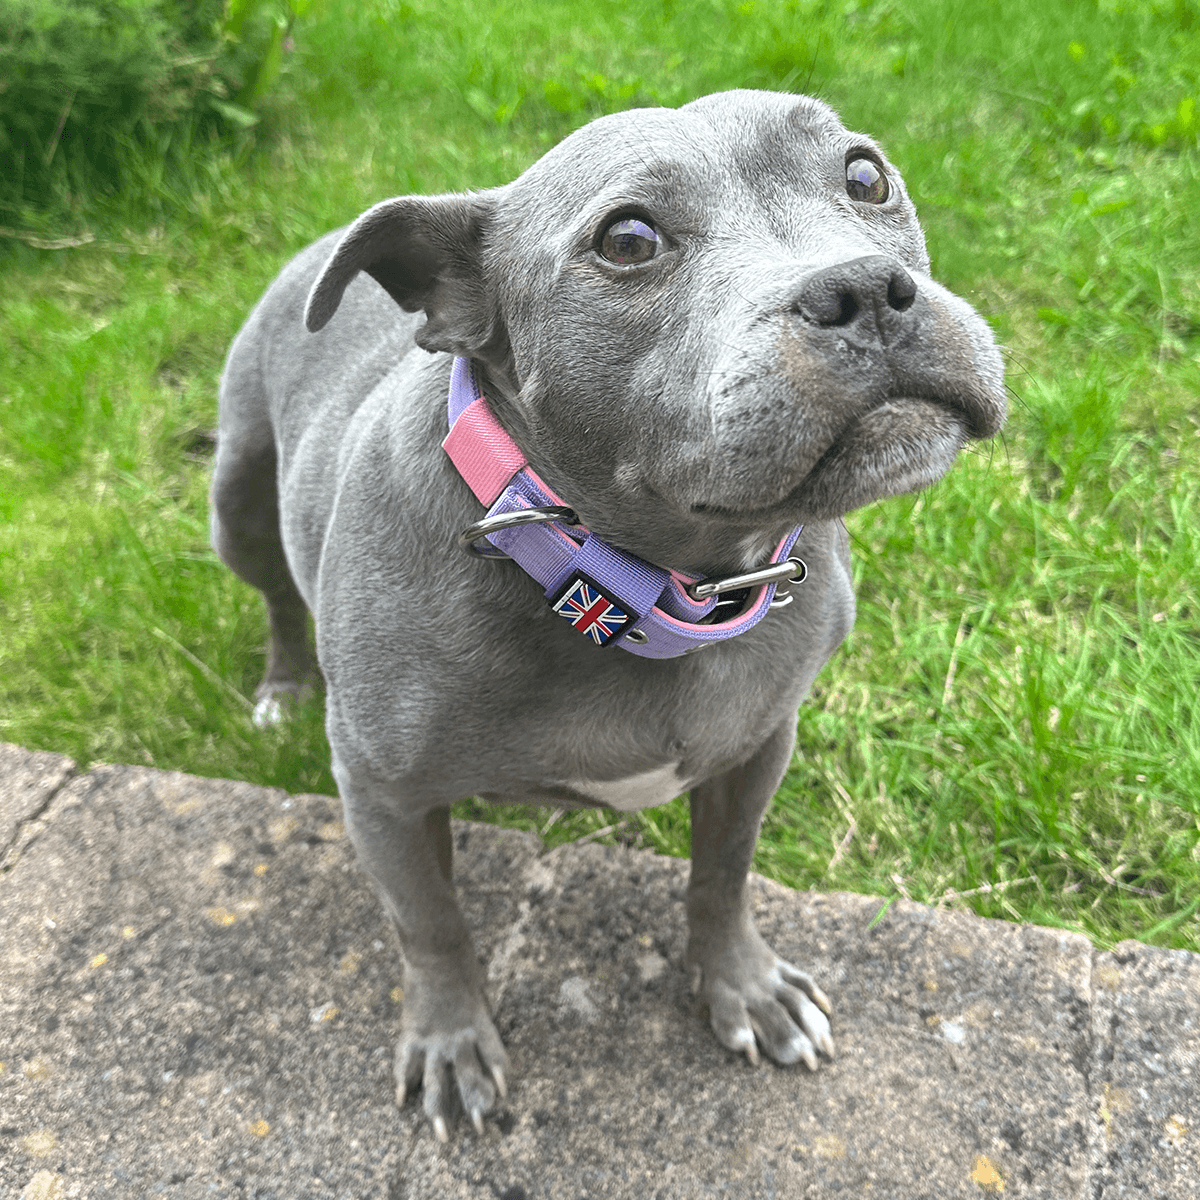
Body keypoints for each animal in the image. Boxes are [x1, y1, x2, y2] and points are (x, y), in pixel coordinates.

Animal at [211, 88, 1008, 1137]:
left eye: (865, 175)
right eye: (629, 239)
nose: (867, 289)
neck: (644, 585)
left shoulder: (758, 743)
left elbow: (723, 875)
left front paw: (744, 987)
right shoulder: (382, 793)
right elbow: (429, 922)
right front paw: (451, 1040)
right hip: (236, 498)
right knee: (273, 595)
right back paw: (283, 688)